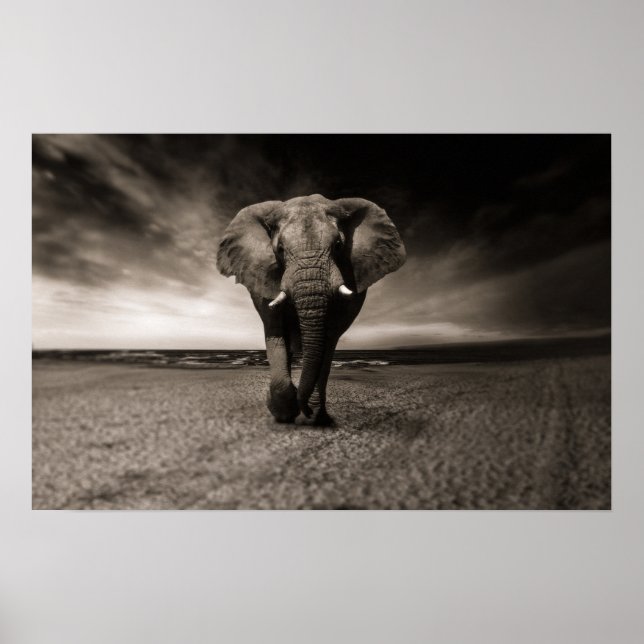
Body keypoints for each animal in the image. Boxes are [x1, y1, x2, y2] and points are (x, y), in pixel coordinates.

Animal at [216, 194, 406, 425]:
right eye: (279, 249)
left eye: (338, 245)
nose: (304, 409)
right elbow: (275, 331)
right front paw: (283, 412)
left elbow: (328, 338)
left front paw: (311, 414)